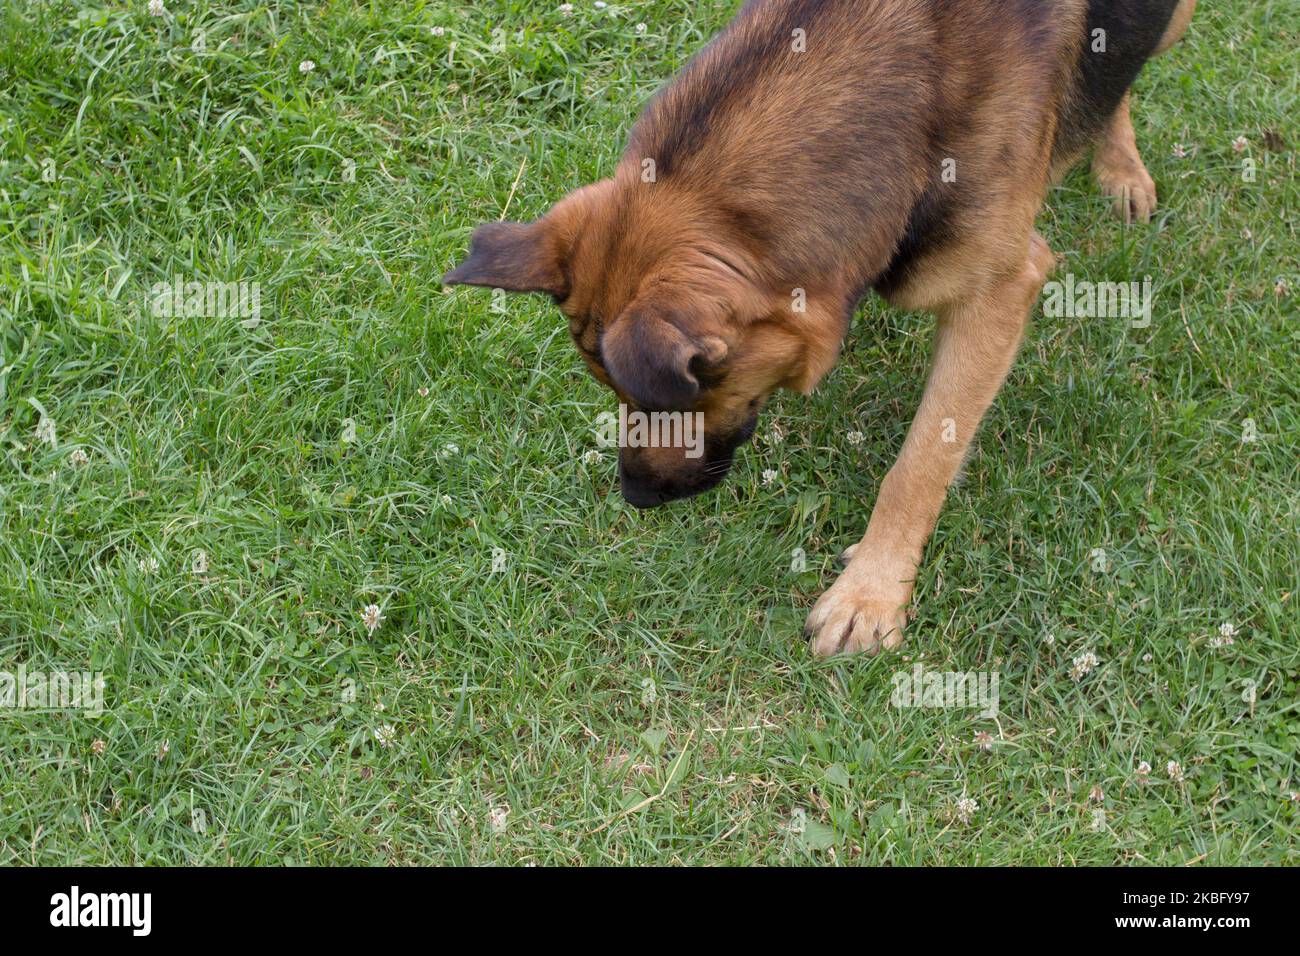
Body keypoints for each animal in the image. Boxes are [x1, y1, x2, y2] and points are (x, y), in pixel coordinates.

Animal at [447, 0, 1196, 655]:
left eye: (686, 389)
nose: (636, 497)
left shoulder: (999, 292)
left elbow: (919, 464)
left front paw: (871, 594)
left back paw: (1120, 165)